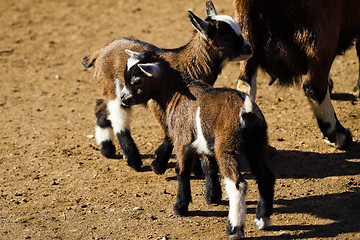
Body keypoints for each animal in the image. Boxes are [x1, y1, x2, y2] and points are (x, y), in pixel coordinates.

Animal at [81, 0, 252, 172]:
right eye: (228, 36)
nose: (250, 48)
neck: (188, 64)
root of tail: (101, 51)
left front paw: (194, 166)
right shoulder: (157, 103)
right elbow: (170, 130)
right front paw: (159, 164)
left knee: (100, 105)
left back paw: (107, 148)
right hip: (116, 89)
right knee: (117, 115)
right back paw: (133, 159)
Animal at [121, 50, 276, 238]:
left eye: (137, 81)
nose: (123, 98)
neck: (177, 92)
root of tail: (245, 109)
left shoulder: (182, 140)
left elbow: (181, 171)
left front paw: (180, 207)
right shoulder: (207, 143)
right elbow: (208, 167)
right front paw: (212, 197)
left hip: (226, 146)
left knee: (237, 184)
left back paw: (234, 229)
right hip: (257, 143)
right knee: (266, 177)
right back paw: (262, 220)